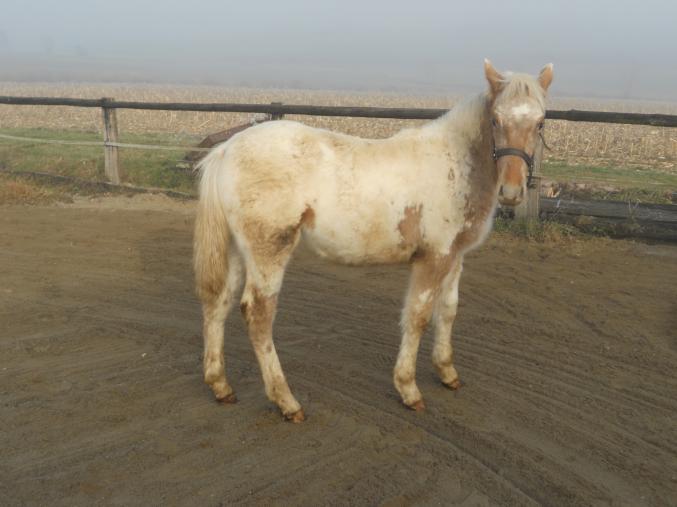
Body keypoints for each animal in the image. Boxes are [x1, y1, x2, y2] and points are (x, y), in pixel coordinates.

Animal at [193, 60, 553, 422]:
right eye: (496, 119)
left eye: (540, 122)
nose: (511, 192)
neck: (454, 163)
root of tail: (226, 149)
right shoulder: (433, 257)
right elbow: (418, 316)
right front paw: (408, 389)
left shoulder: (455, 255)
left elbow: (448, 310)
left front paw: (448, 373)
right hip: (269, 250)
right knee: (258, 314)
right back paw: (287, 401)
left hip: (237, 251)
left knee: (218, 302)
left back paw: (221, 386)